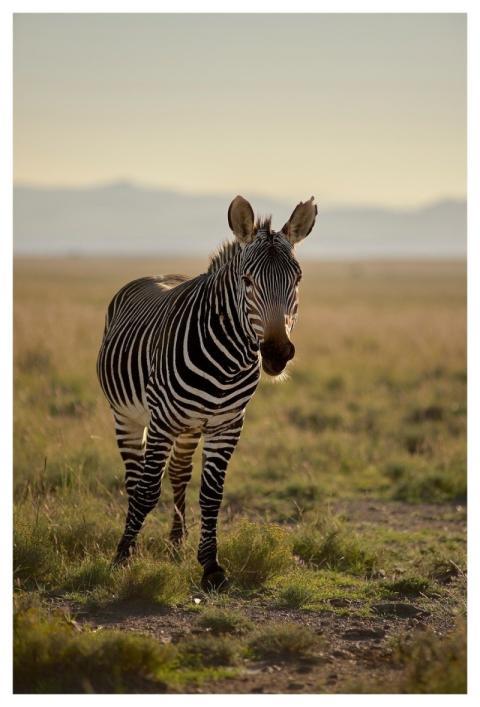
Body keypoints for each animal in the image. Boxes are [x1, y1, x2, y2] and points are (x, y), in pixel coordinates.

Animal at [97, 195, 317, 591]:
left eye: (298, 279)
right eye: (247, 280)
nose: (277, 352)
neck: (227, 364)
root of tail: (156, 275)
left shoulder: (226, 426)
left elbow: (212, 495)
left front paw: (210, 565)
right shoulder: (162, 421)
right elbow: (147, 491)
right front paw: (121, 556)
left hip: (189, 427)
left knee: (179, 473)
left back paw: (175, 543)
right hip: (128, 416)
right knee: (135, 481)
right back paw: (130, 545)